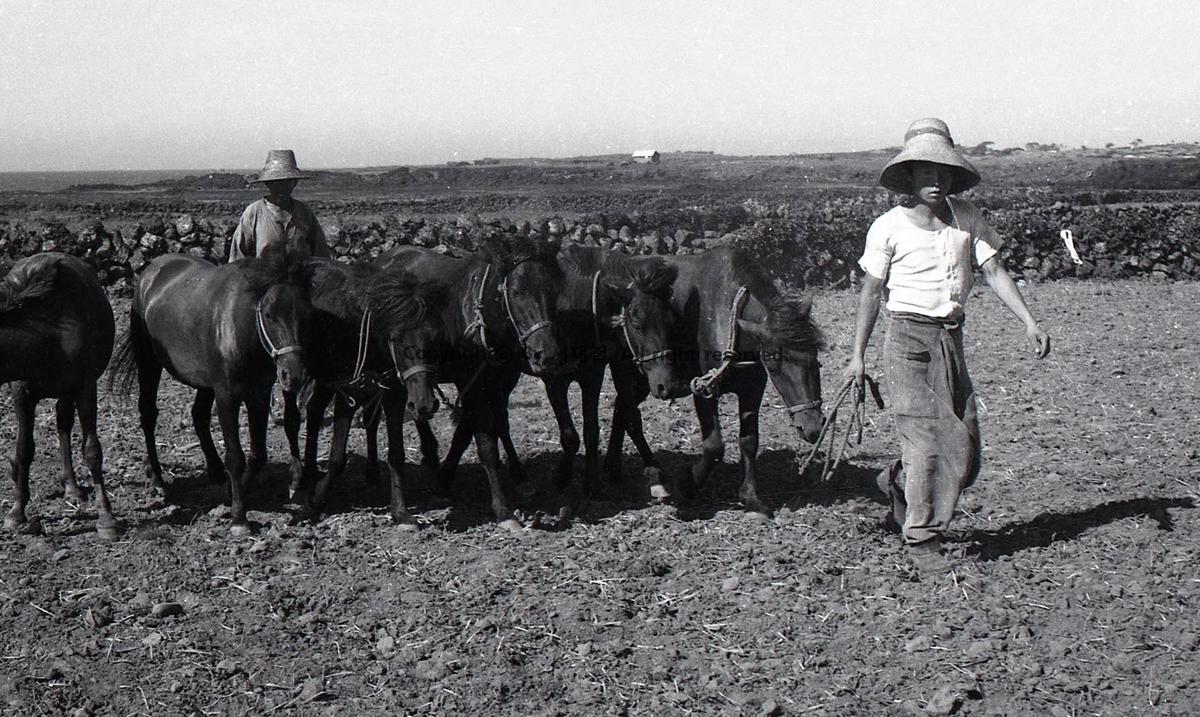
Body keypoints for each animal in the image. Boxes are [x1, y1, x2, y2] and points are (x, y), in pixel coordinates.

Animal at [0, 252, 117, 539]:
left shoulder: (85, 387)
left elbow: (92, 451)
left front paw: (106, 517)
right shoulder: (21, 391)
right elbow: (24, 449)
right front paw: (16, 512)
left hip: (69, 391)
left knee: (64, 423)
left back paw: (72, 487)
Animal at [113, 244, 314, 537]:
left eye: (306, 314)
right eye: (268, 314)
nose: (294, 374)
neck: (242, 329)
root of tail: (152, 271)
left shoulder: (258, 395)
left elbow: (257, 454)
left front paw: (232, 489)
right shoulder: (227, 397)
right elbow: (235, 456)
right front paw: (239, 517)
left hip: (204, 383)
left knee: (198, 416)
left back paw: (215, 473)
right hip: (149, 363)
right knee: (148, 414)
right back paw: (157, 479)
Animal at [280, 258, 451, 527]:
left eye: (436, 338)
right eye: (397, 340)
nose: (425, 404)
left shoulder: (395, 396)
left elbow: (396, 455)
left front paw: (401, 512)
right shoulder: (348, 396)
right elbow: (337, 458)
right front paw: (313, 505)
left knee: (315, 410)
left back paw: (317, 470)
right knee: (294, 418)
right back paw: (298, 477)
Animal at [372, 238, 564, 529]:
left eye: (553, 291)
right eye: (516, 292)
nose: (547, 354)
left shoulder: (500, 381)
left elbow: (488, 428)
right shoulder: (471, 383)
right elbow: (484, 444)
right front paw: (503, 511)